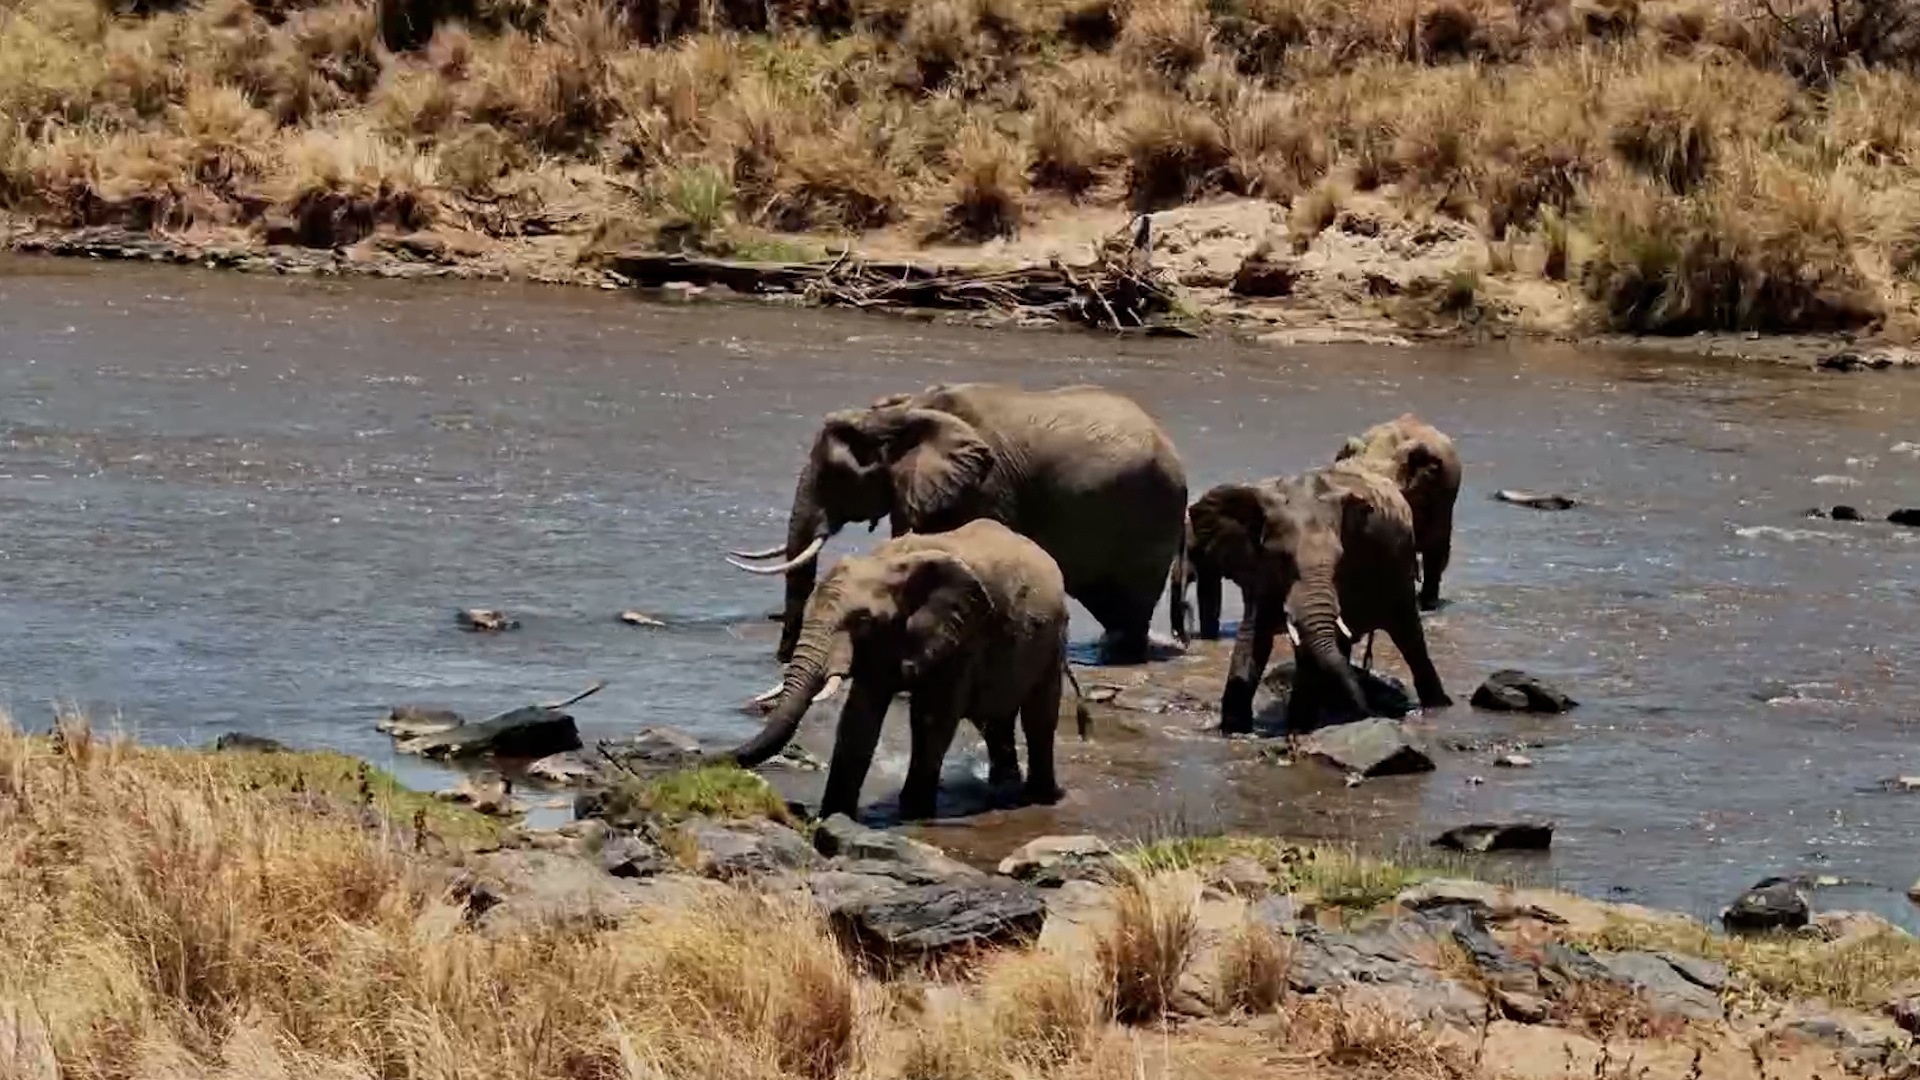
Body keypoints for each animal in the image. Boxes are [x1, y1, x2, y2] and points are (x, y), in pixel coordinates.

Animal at [721, 519, 1072, 821]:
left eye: (862, 621)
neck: (888, 563)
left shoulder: (963, 634)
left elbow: (932, 717)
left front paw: (912, 813)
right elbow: (859, 719)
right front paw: (834, 816)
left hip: (1053, 638)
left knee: (1038, 717)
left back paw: (1037, 796)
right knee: (995, 720)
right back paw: (1004, 786)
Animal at [726, 382, 1188, 667]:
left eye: (834, 474)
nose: (781, 658)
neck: (901, 412)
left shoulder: (983, 485)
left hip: (1151, 516)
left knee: (1130, 603)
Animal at [1187, 461, 1452, 735]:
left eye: (1340, 559)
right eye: (1282, 558)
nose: (1370, 712)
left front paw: (1297, 727)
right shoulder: (1257, 570)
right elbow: (1252, 637)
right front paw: (1233, 730)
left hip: (1400, 572)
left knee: (1409, 637)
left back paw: (1436, 706)